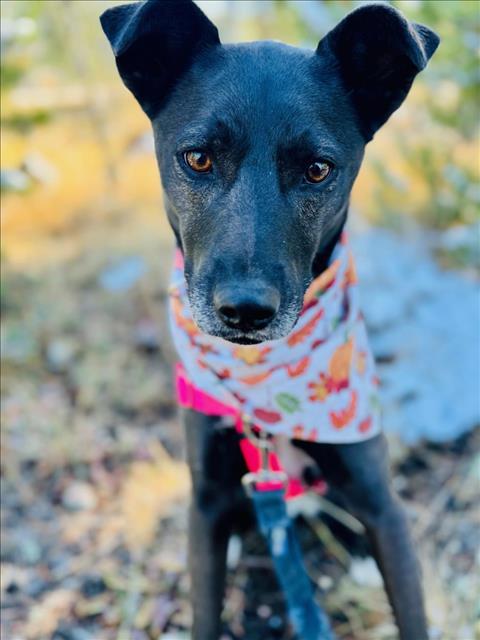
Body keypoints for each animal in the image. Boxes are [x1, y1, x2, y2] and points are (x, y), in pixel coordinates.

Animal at [100, 2, 438, 636]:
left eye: (318, 170)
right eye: (198, 158)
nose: (246, 310)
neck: (265, 379)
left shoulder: (383, 505)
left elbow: (410, 610)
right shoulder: (206, 502)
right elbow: (204, 610)